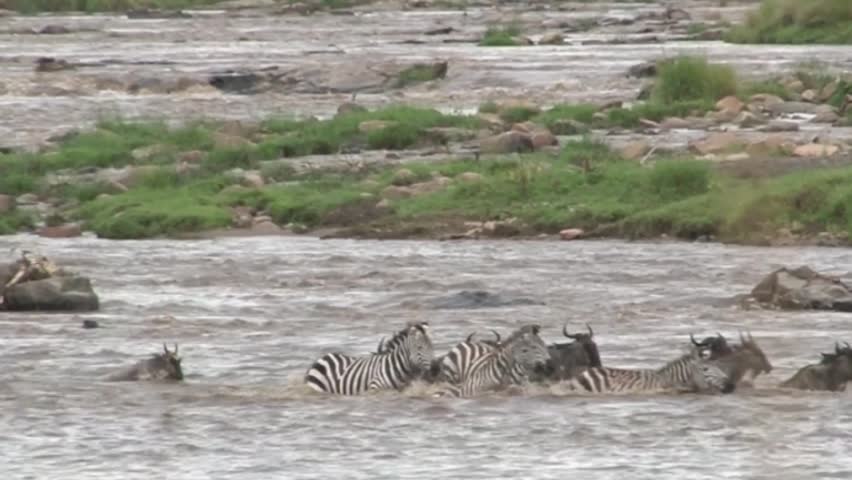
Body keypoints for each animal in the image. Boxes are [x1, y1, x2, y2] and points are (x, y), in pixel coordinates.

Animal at [305, 321, 433, 395]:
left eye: (432, 347)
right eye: (420, 348)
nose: (435, 368)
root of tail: (323, 357)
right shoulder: (374, 388)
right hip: (317, 388)